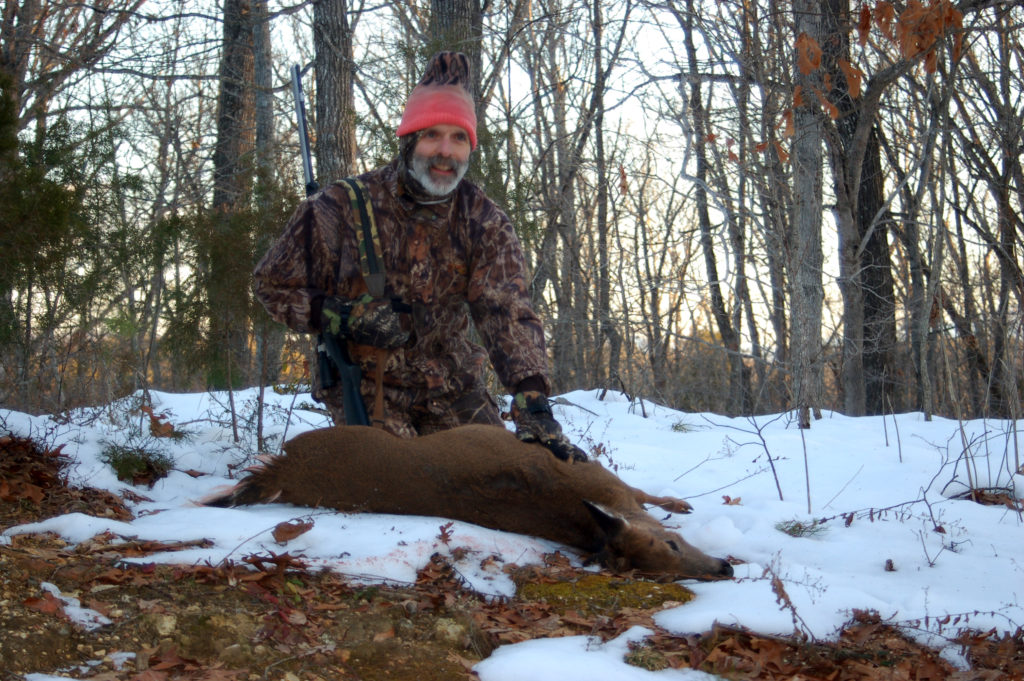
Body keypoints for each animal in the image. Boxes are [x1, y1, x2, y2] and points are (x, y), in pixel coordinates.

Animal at [205, 424, 734, 581]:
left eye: (666, 573)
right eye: (672, 548)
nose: (725, 568)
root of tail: (288, 469)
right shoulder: (595, 471)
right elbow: (649, 492)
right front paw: (680, 504)